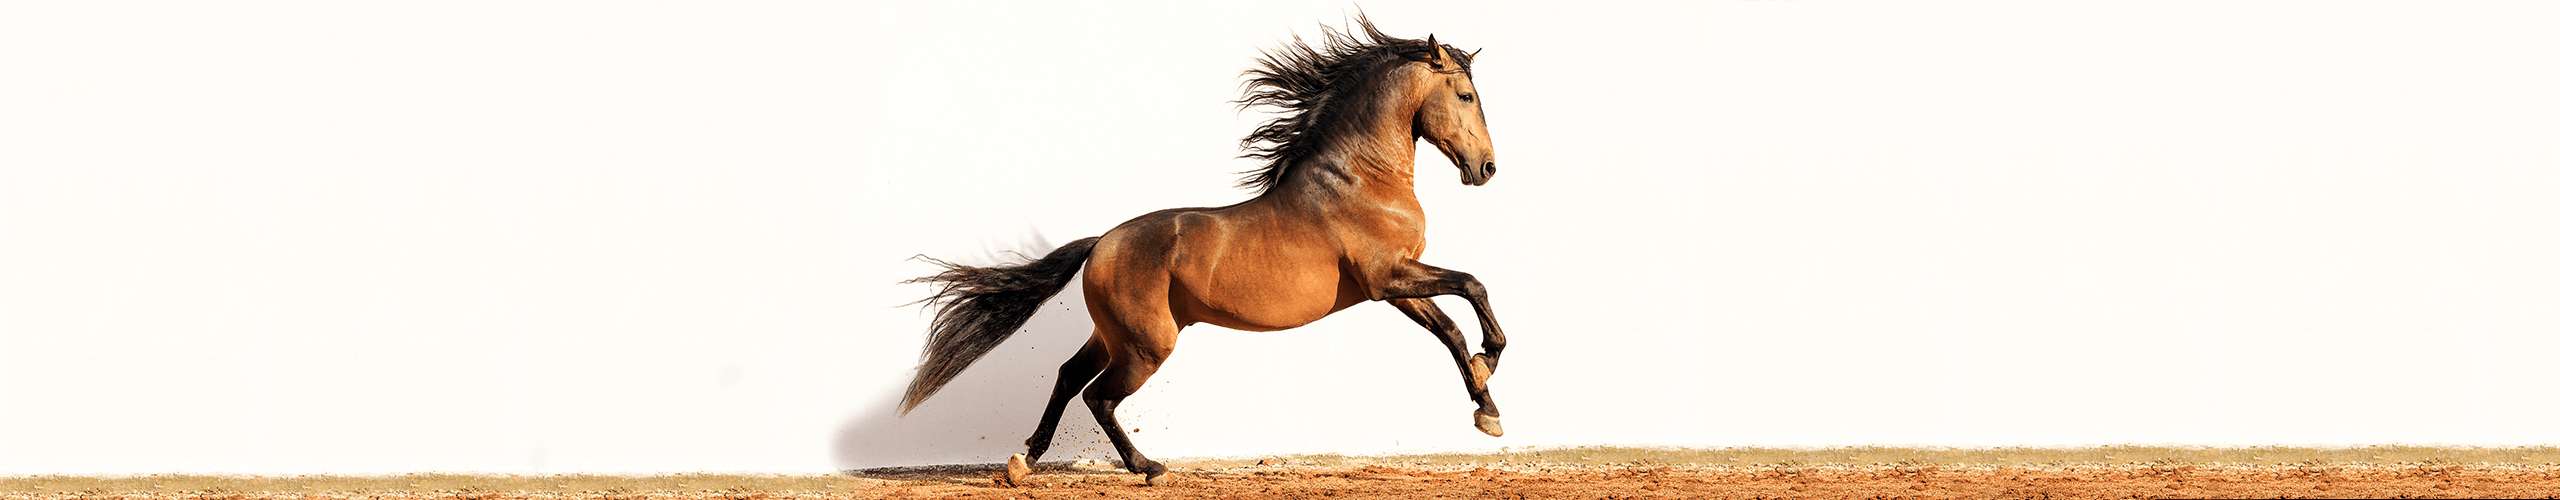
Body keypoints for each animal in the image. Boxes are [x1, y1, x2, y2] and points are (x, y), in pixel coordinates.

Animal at [901, 17, 1495, 487]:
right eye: (1466, 96)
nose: (1486, 167)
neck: (1360, 180)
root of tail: (1101, 244)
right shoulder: (1387, 277)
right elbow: (1472, 287)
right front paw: (1489, 376)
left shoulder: (1392, 286)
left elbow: (1450, 328)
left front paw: (1486, 403)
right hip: (1147, 344)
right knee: (1099, 397)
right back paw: (1149, 468)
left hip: (1116, 335)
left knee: (1070, 377)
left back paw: (1023, 462)